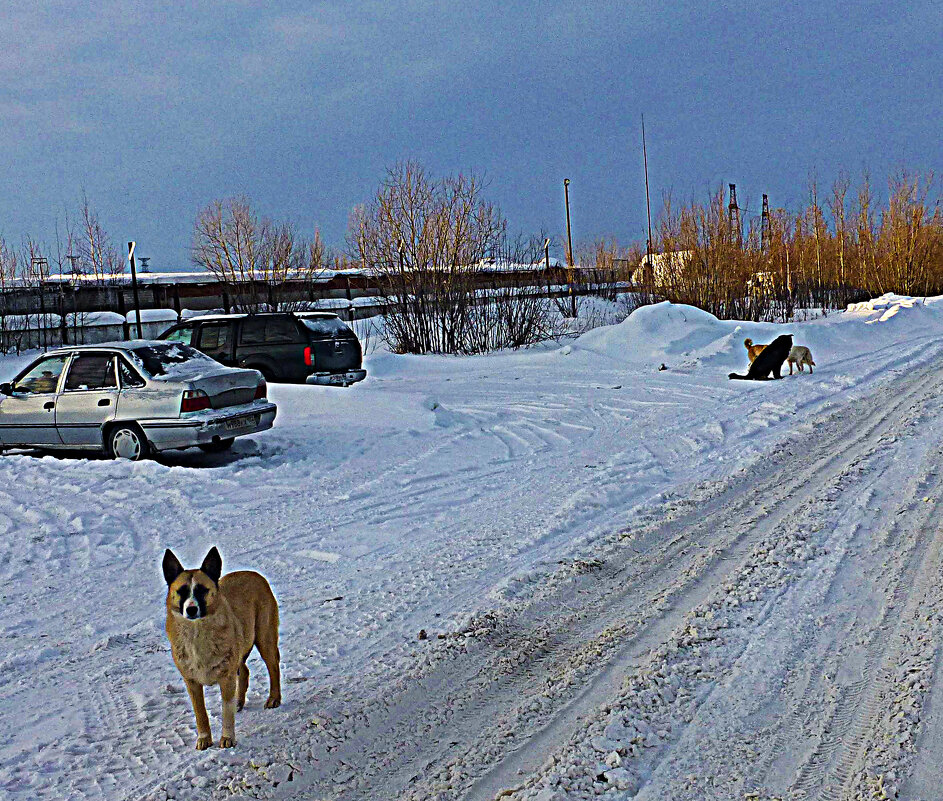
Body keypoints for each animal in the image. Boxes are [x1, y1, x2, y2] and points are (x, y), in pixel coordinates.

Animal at [163, 548, 280, 748]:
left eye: (202, 590)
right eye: (181, 591)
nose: (191, 609)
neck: (197, 633)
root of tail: (253, 574)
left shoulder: (226, 677)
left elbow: (226, 711)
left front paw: (227, 738)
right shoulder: (191, 682)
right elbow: (200, 713)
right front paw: (204, 739)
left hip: (265, 638)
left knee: (273, 667)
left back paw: (274, 698)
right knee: (245, 670)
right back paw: (239, 701)